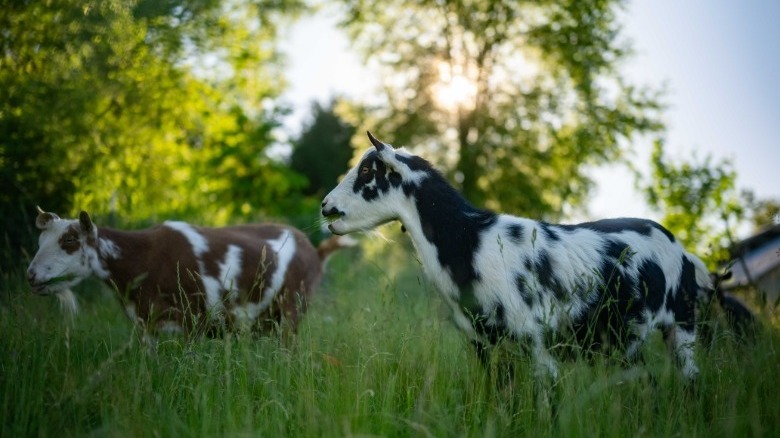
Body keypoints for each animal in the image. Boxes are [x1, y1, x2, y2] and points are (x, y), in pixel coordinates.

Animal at [27, 208, 354, 341]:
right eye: (40, 240)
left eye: (70, 241)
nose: (31, 275)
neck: (143, 257)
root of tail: (314, 250)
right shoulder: (146, 324)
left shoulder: (192, 320)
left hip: (292, 308)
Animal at [321, 131, 713, 383]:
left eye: (367, 171)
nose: (327, 206)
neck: (470, 241)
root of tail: (683, 250)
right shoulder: (486, 346)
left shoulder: (538, 346)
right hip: (626, 344)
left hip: (681, 327)